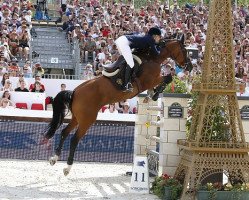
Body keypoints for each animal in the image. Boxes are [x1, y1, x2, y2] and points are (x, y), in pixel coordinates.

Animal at [43, 37, 193, 175]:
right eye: (185, 50)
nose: (190, 67)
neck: (153, 59)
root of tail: (74, 92)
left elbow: (164, 81)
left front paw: (151, 95)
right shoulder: (150, 81)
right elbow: (168, 78)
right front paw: (155, 94)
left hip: (77, 117)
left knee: (64, 132)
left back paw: (54, 158)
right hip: (87, 119)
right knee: (74, 139)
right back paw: (67, 167)